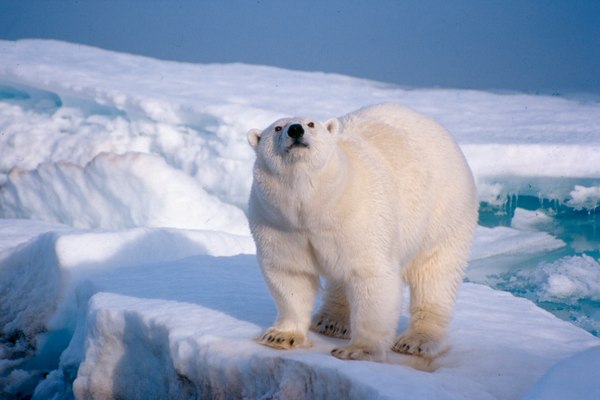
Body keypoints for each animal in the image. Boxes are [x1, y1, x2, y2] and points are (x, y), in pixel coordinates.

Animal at [246, 104, 476, 362]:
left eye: (311, 124)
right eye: (277, 128)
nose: (295, 130)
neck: (315, 207)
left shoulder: (360, 216)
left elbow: (371, 276)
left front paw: (357, 349)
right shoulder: (279, 225)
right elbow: (290, 275)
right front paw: (279, 336)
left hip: (444, 214)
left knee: (434, 276)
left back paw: (416, 341)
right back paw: (332, 321)